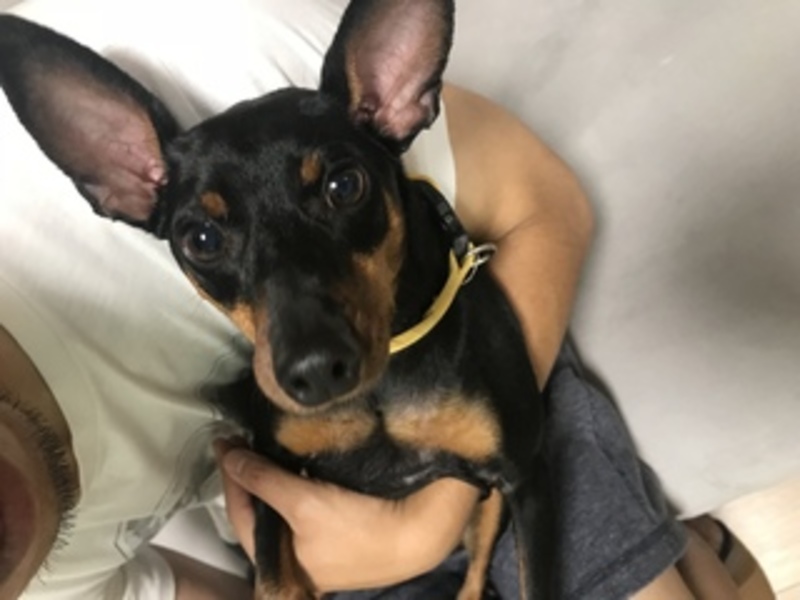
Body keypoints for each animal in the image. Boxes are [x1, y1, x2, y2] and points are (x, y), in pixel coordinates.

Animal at [0, 1, 551, 598]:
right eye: (201, 239)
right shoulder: (272, 480)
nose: (314, 372)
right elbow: (275, 578)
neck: (379, 397)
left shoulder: (524, 477)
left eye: (345, 186)